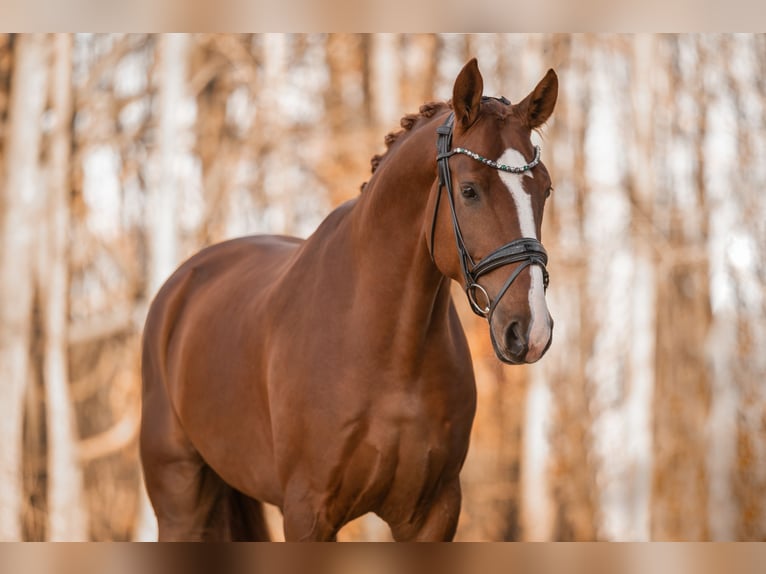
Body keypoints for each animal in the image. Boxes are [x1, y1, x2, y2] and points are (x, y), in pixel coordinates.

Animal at [141, 60, 560, 544]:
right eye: (470, 190)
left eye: (545, 189)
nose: (530, 331)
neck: (386, 353)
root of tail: (182, 284)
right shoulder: (308, 513)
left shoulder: (434, 514)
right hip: (179, 502)